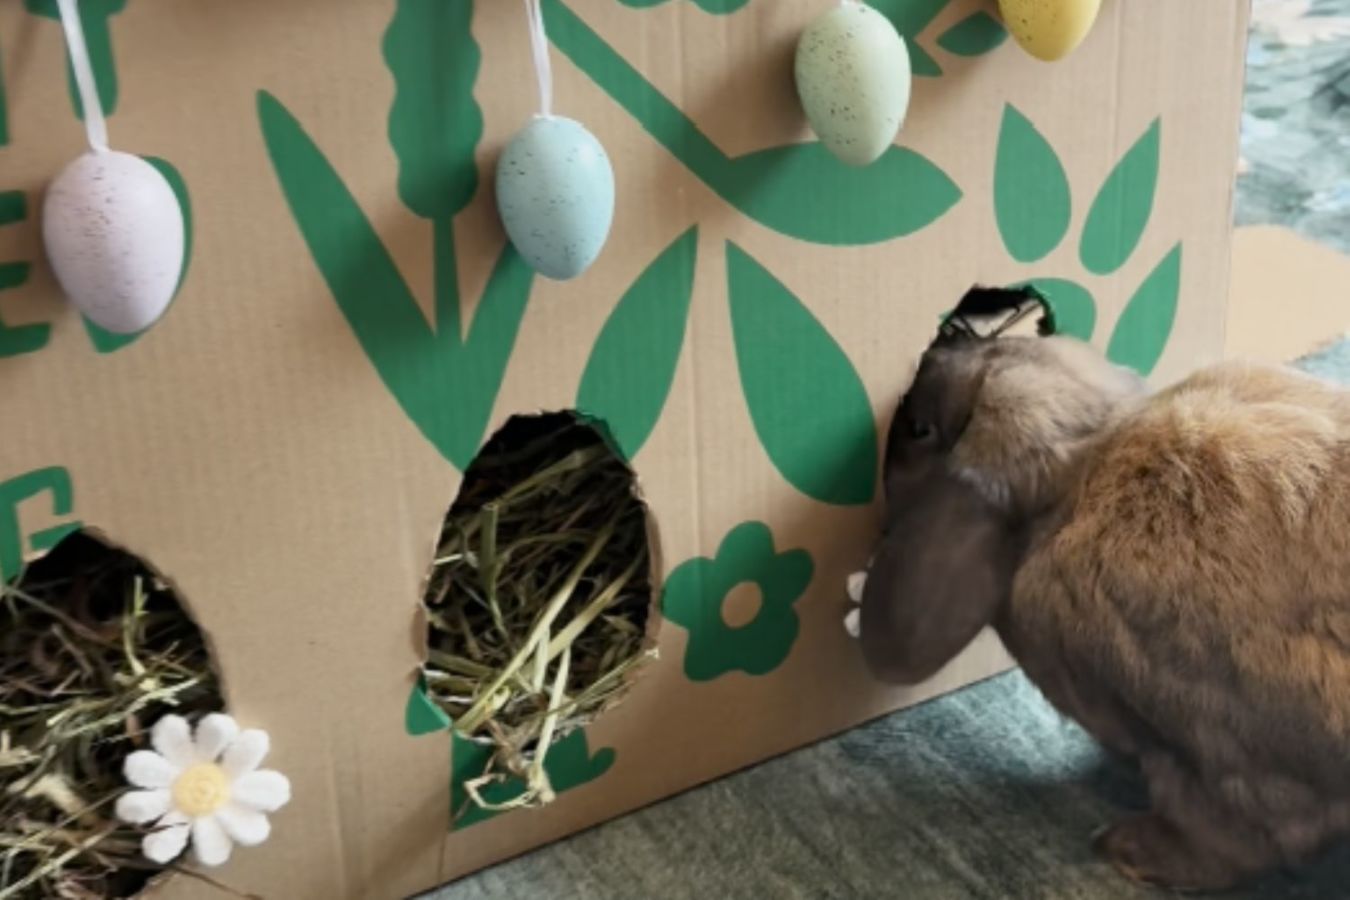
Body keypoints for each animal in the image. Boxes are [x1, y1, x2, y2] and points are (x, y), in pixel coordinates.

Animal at [856, 285, 1350, 892]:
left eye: (920, 429)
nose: (936, 348)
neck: (1084, 474)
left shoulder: (1223, 765)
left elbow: (1231, 841)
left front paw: (1124, 848)